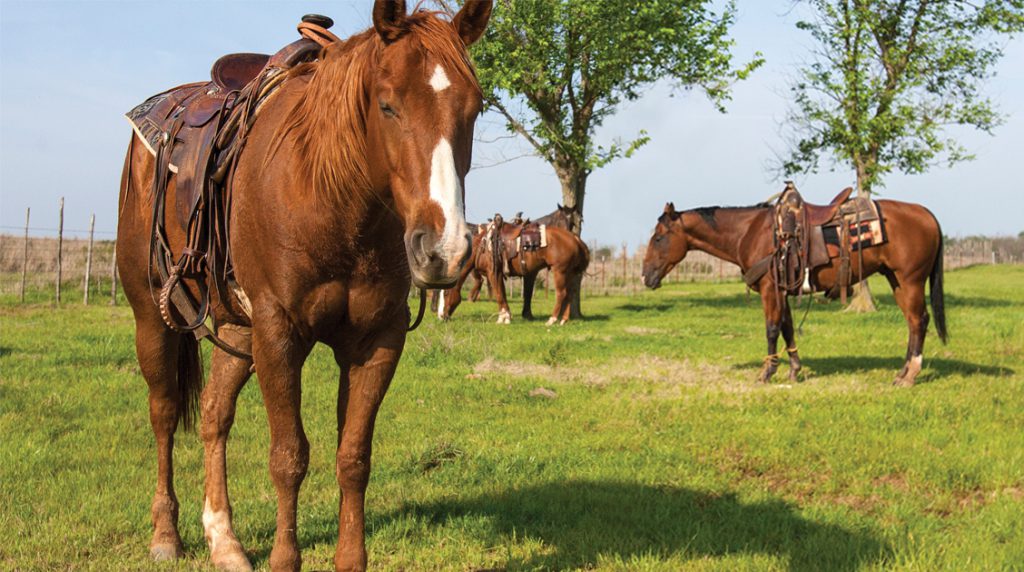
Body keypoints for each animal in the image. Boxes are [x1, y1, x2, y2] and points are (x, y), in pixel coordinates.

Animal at [116, 2, 492, 571]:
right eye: (387, 104)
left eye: (475, 109)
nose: (443, 248)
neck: (332, 199)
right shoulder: (279, 334)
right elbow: (288, 457)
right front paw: (283, 557)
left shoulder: (376, 341)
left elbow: (353, 457)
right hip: (151, 314)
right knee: (163, 413)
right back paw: (166, 534)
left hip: (238, 328)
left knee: (214, 415)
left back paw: (224, 541)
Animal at [439, 220, 590, 324]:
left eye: (446, 294)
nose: (441, 316)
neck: (482, 246)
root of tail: (575, 238)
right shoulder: (498, 274)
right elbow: (502, 293)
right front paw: (505, 316)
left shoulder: (492, 273)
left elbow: (499, 294)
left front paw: (504, 318)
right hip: (569, 273)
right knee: (570, 294)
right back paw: (563, 320)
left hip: (559, 271)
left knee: (561, 294)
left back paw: (551, 320)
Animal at [642, 199, 946, 386]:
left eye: (658, 238)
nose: (645, 275)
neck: (750, 232)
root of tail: (927, 214)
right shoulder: (783, 291)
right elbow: (787, 328)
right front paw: (794, 370)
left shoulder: (770, 289)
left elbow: (772, 329)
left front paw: (766, 372)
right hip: (897, 281)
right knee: (913, 323)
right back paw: (902, 372)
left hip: (910, 280)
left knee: (918, 321)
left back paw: (910, 376)